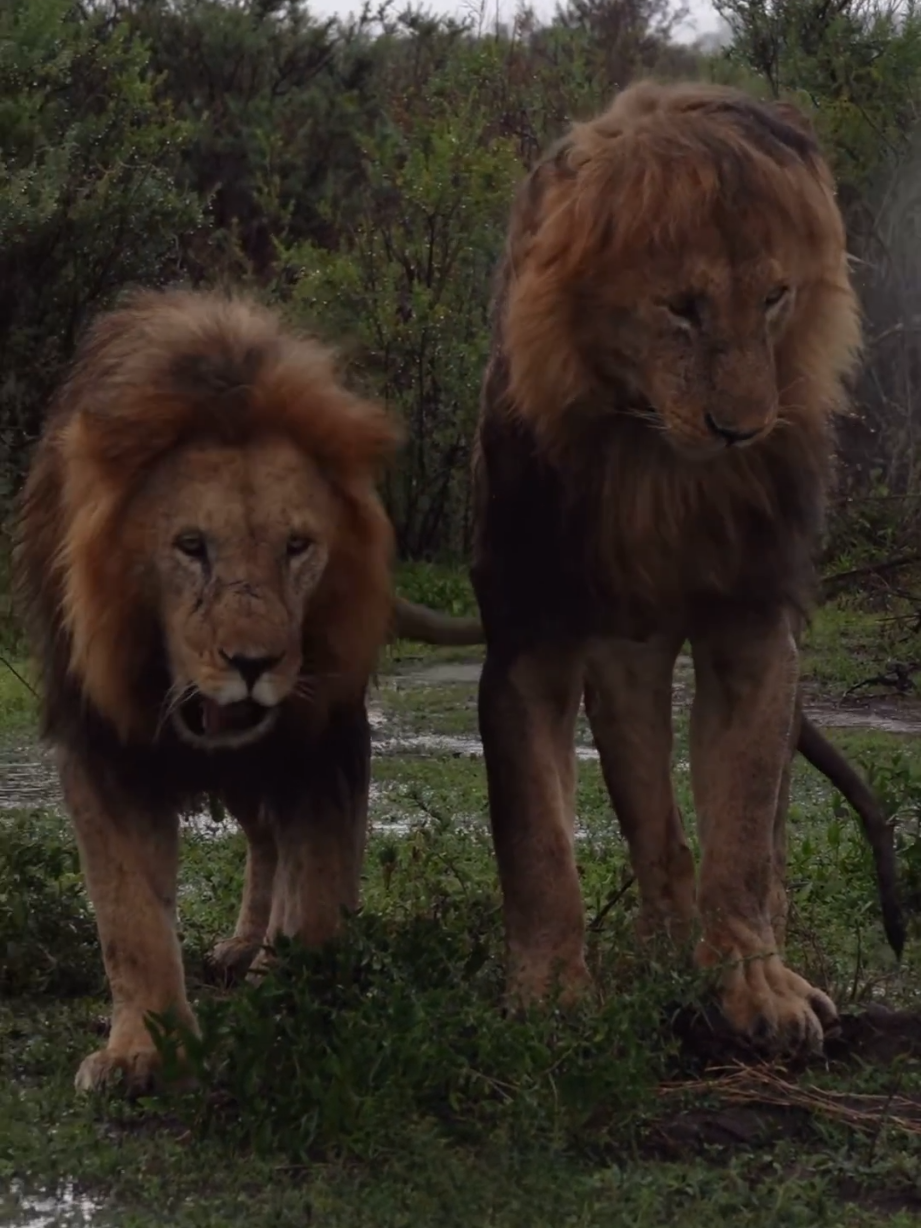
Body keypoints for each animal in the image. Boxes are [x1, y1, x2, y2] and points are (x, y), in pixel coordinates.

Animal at [15, 286, 407, 1093]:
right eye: (191, 547)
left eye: (298, 547)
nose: (254, 663)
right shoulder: (102, 746)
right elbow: (129, 915)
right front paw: (141, 1050)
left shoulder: (324, 737)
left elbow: (317, 882)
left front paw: (301, 1002)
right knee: (262, 842)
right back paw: (241, 948)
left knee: (280, 850)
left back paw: (263, 958)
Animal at [471, 79, 873, 1054]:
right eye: (681, 307)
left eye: (773, 297)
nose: (742, 429)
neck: (656, 469)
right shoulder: (529, 634)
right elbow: (536, 838)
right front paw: (550, 993)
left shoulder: (752, 631)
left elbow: (740, 829)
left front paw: (754, 987)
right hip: (625, 655)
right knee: (652, 820)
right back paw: (655, 946)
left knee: (758, 837)